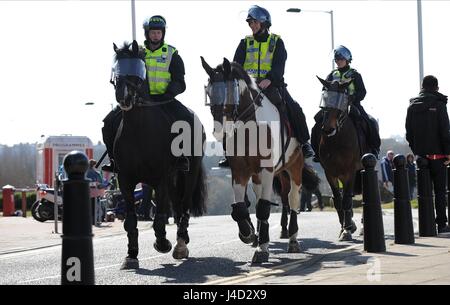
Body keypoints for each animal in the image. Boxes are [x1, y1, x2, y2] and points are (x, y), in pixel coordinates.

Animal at [111, 41, 207, 268]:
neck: (137, 129)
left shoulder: (161, 178)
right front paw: (131, 255)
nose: (123, 98)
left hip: (189, 173)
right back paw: (182, 240)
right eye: (117, 69)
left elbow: (160, 217)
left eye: (138, 69)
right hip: (173, 179)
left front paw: (162, 243)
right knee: (178, 207)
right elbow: (130, 219)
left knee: (185, 206)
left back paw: (180, 245)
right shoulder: (126, 179)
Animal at [202, 56, 318, 262]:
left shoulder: (267, 170)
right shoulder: (240, 170)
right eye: (208, 92)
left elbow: (264, 207)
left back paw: (293, 239)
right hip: (259, 175)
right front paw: (248, 234)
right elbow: (240, 207)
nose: (219, 131)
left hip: (294, 167)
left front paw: (262, 249)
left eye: (230, 92)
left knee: (292, 199)